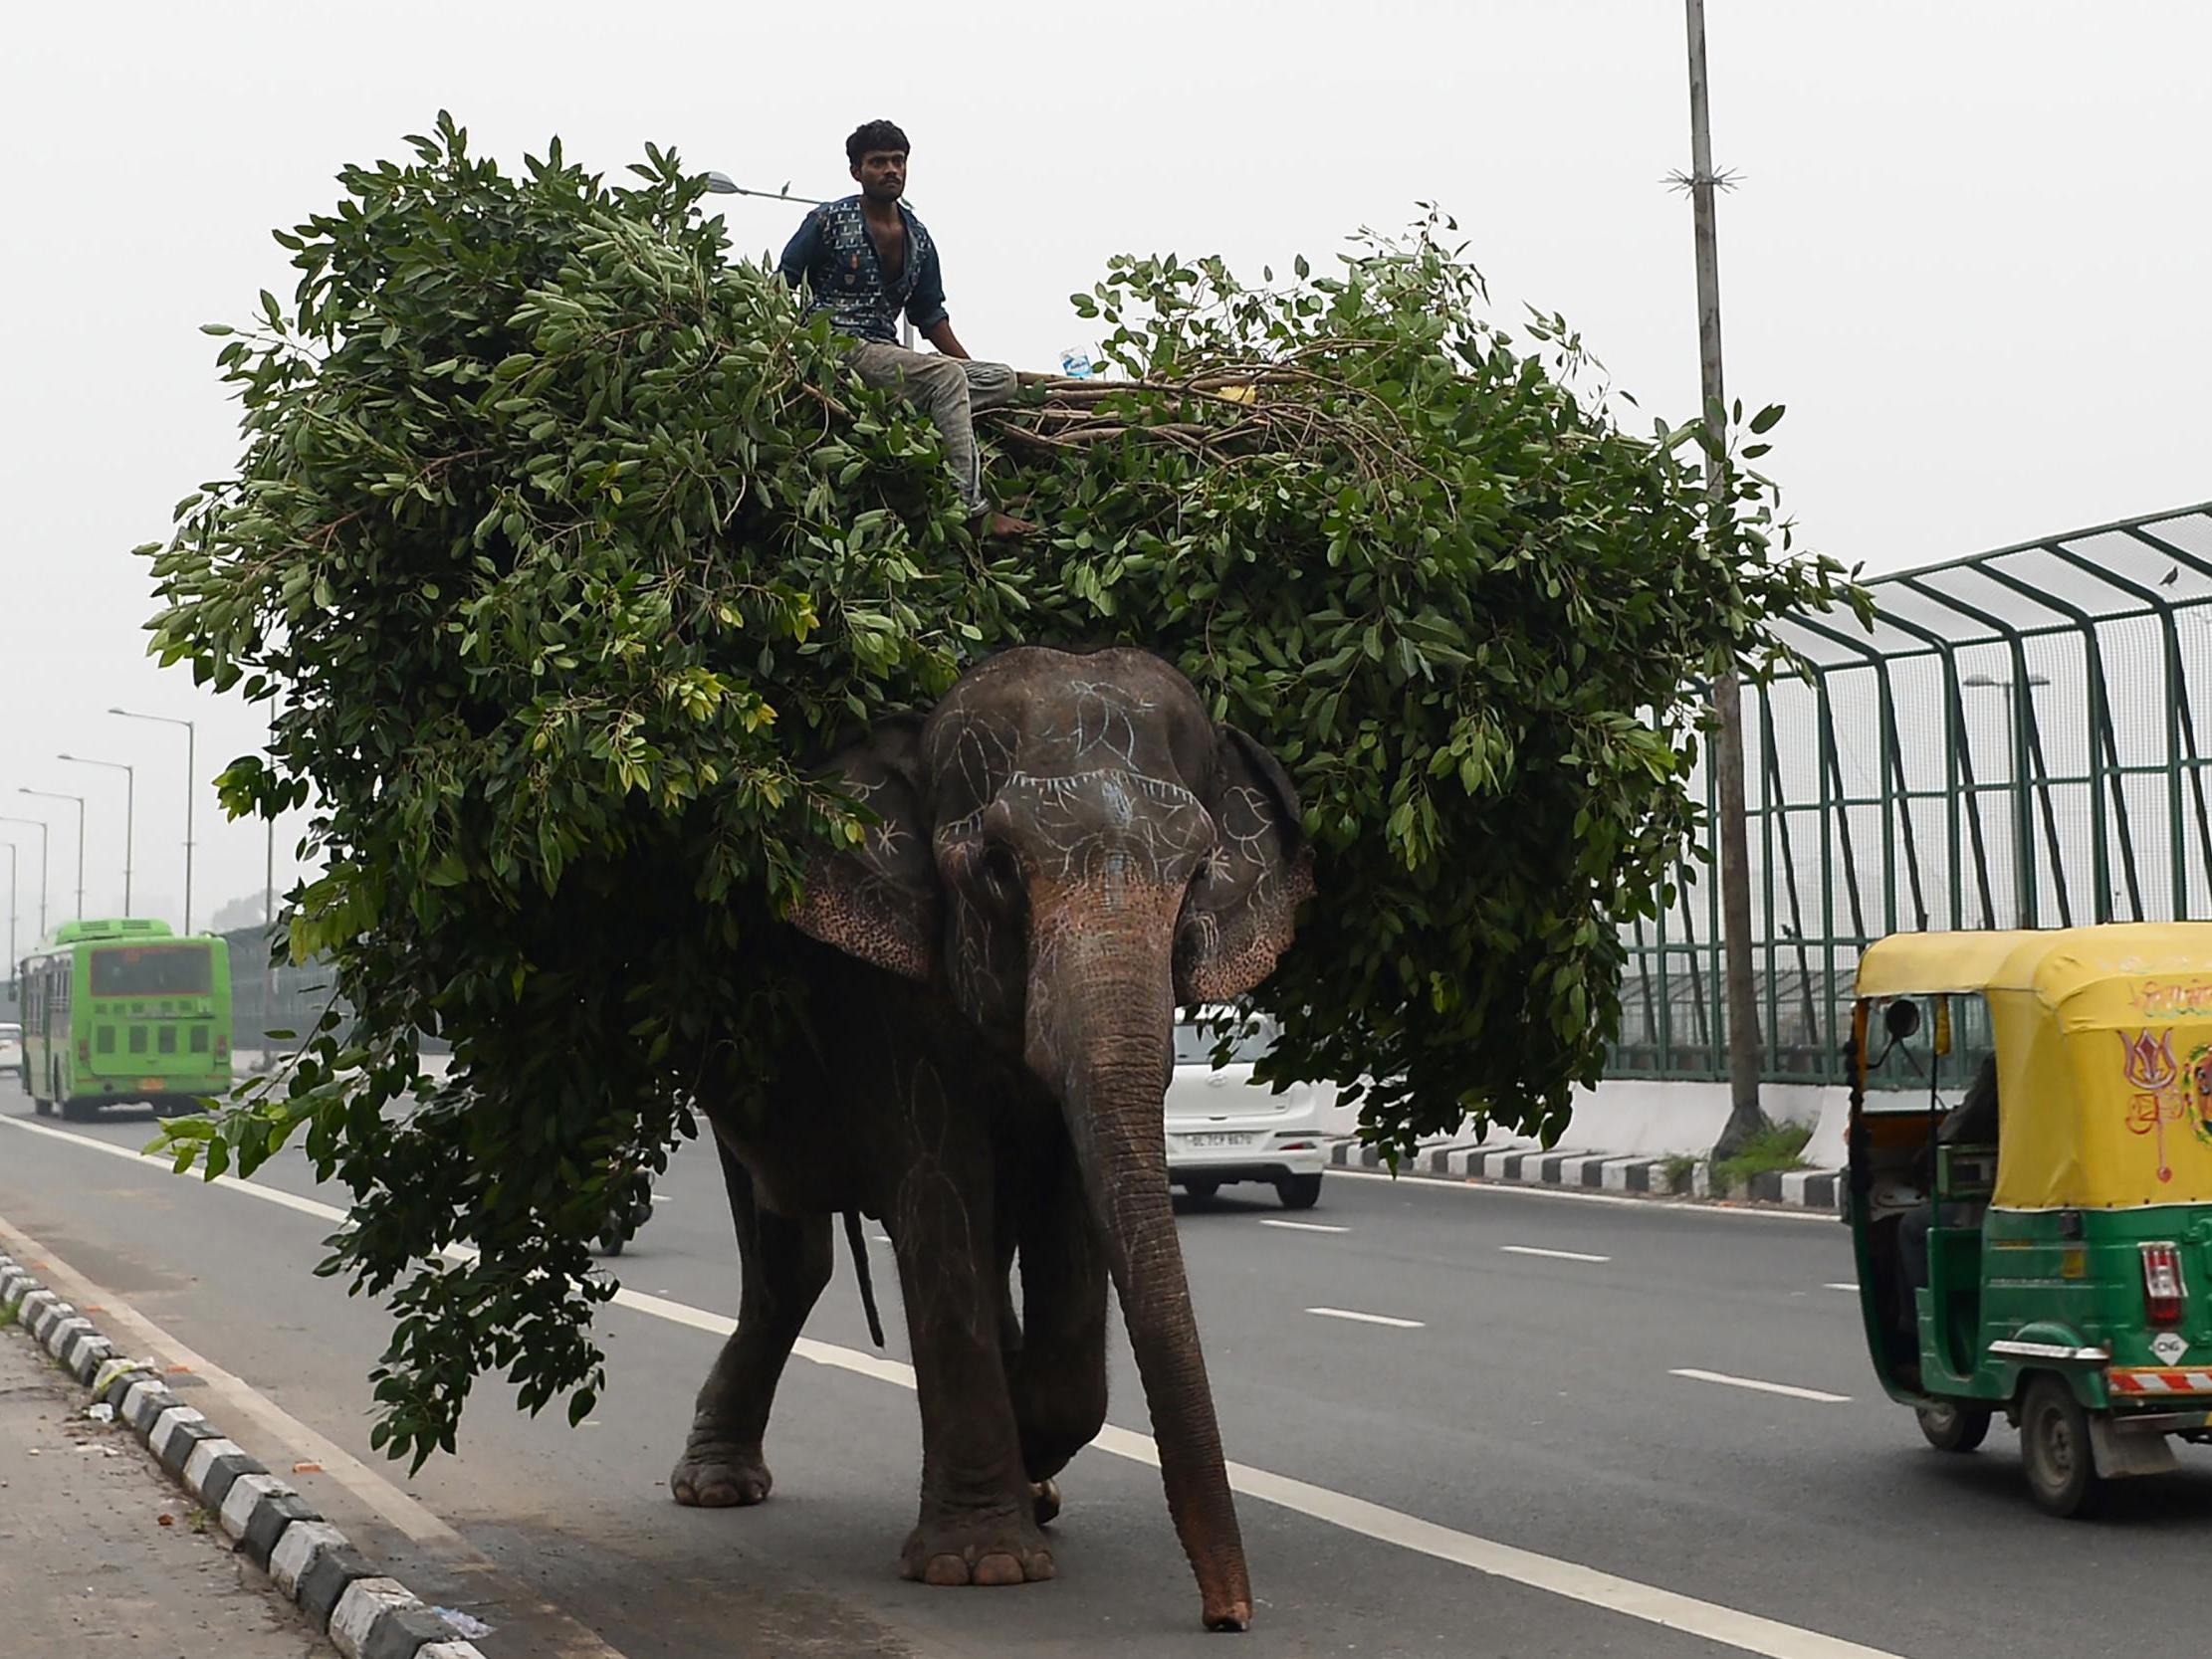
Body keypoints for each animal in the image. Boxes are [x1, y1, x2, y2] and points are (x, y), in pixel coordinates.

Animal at [663, 641, 1300, 1627]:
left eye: (1198, 872)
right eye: (996, 866)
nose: (1227, 1615)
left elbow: (1068, 1210)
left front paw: (1032, 1469)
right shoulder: (890, 997)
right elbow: (938, 1186)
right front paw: (984, 1565)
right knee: (788, 1255)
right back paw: (716, 1486)